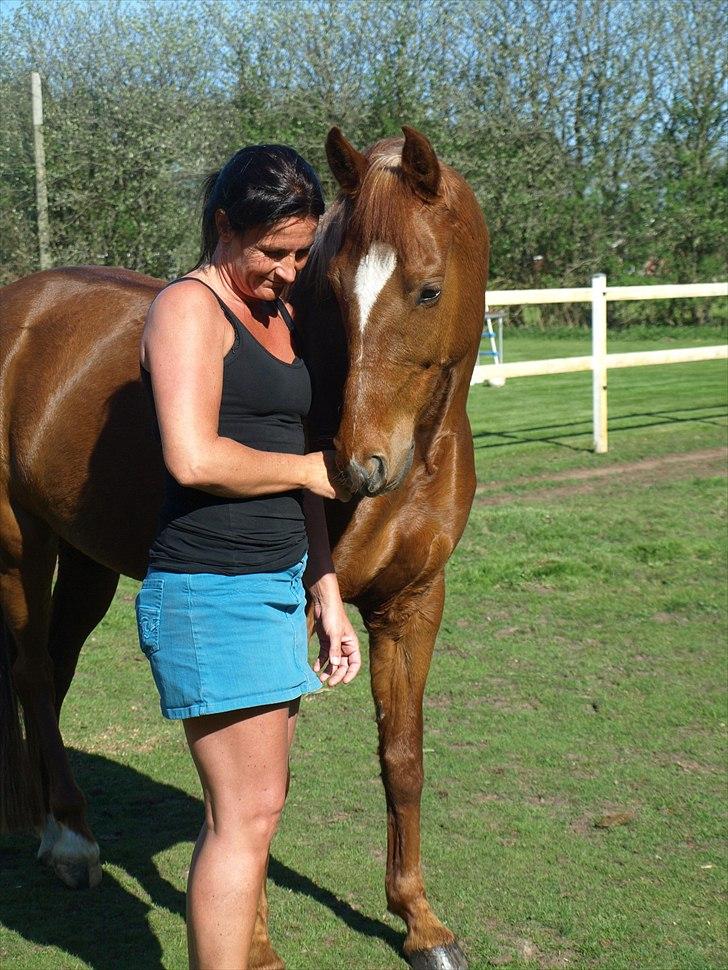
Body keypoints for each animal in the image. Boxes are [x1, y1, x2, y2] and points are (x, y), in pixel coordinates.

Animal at [2, 129, 490, 968]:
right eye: (333, 288)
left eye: (428, 291)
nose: (358, 465)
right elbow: (263, 783)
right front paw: (255, 945)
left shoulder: (412, 603)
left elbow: (403, 758)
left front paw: (421, 923)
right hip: (21, 541)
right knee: (31, 671)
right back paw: (69, 841)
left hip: (86, 558)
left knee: (52, 674)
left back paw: (42, 820)